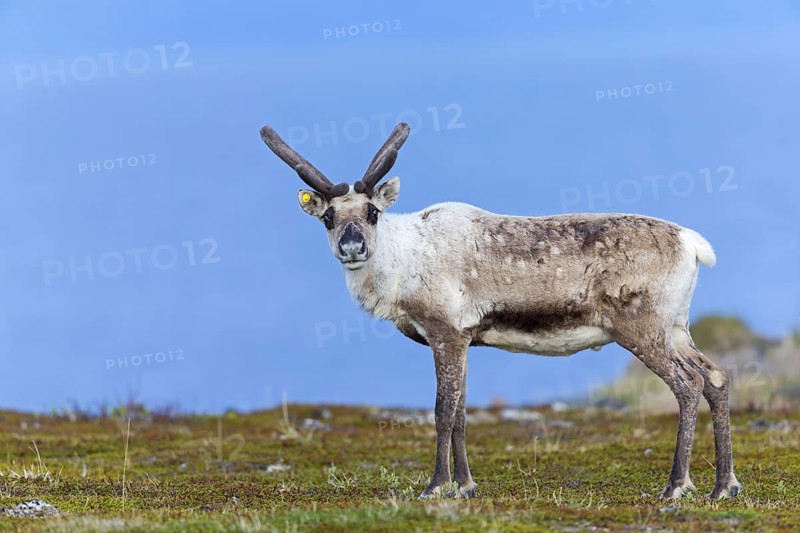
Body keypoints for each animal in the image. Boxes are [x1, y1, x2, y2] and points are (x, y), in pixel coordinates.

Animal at [259, 122, 740, 501]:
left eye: (373, 212)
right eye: (328, 218)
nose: (352, 246)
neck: (404, 265)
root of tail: (692, 243)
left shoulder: (446, 331)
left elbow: (442, 409)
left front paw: (436, 485)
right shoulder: (467, 337)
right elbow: (461, 412)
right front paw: (466, 485)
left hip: (642, 326)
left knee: (688, 384)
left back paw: (676, 486)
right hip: (677, 326)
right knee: (716, 376)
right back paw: (724, 485)